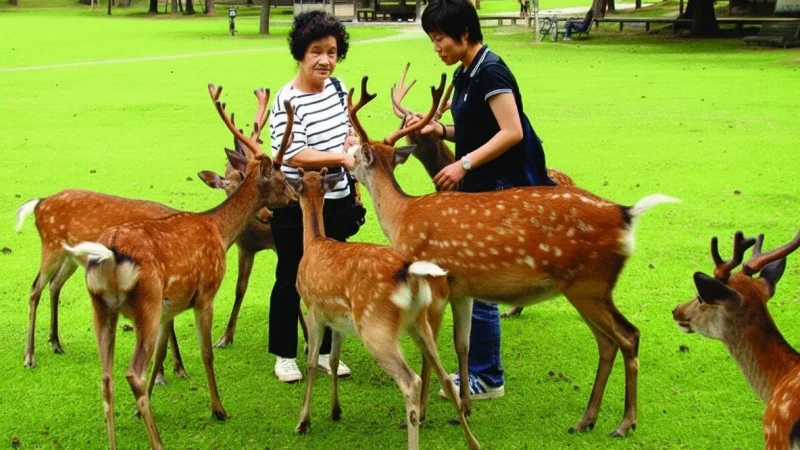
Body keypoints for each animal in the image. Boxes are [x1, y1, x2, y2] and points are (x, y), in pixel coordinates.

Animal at [60, 84, 297, 450]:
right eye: (282, 177)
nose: (296, 195)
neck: (219, 231)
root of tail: (109, 256)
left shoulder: (168, 308)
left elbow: (161, 353)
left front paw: (156, 392)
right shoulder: (206, 294)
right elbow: (206, 353)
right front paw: (218, 409)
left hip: (102, 307)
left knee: (106, 377)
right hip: (145, 302)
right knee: (132, 372)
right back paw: (157, 441)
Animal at [287, 164, 480, 450]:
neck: (313, 243)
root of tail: (409, 273)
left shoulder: (314, 311)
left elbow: (312, 364)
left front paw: (303, 422)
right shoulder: (339, 321)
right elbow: (332, 360)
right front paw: (335, 410)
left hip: (376, 327)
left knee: (411, 381)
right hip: (418, 322)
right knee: (444, 375)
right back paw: (472, 442)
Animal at [346, 74, 678, 437]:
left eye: (355, 153)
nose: (343, 163)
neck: (402, 217)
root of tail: (626, 215)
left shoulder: (433, 284)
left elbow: (429, 353)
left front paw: (421, 413)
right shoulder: (461, 288)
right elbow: (462, 344)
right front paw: (464, 408)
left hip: (588, 282)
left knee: (627, 336)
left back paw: (624, 422)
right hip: (589, 287)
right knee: (608, 342)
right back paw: (586, 419)